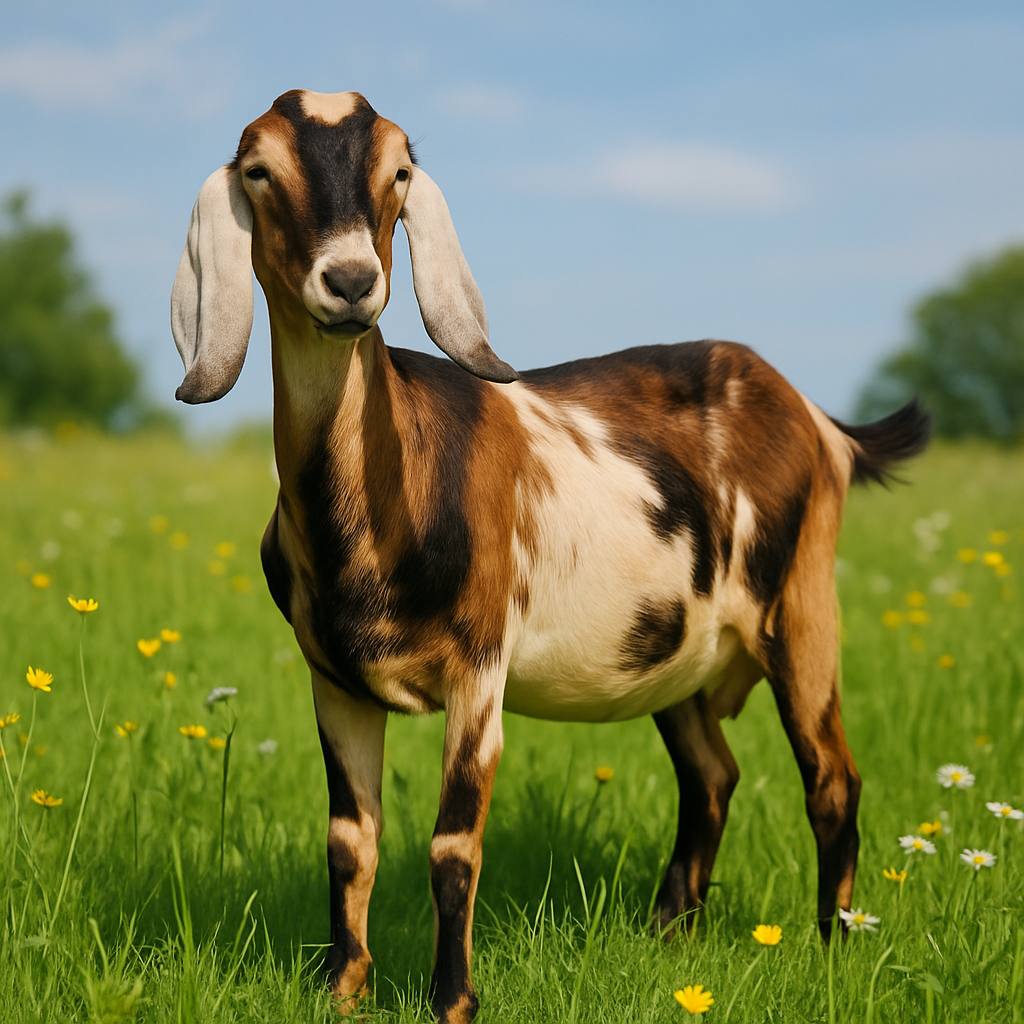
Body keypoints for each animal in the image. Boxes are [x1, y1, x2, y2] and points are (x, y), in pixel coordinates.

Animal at [171, 90, 930, 1024]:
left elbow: (453, 847)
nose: (350, 282)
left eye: (399, 171)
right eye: (260, 171)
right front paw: (340, 990)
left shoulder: (479, 668)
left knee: (832, 778)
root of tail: (820, 419)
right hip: (678, 654)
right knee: (712, 774)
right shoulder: (335, 679)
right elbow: (350, 841)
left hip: (801, 606)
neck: (388, 491)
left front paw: (452, 1001)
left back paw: (834, 948)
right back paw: (667, 936)